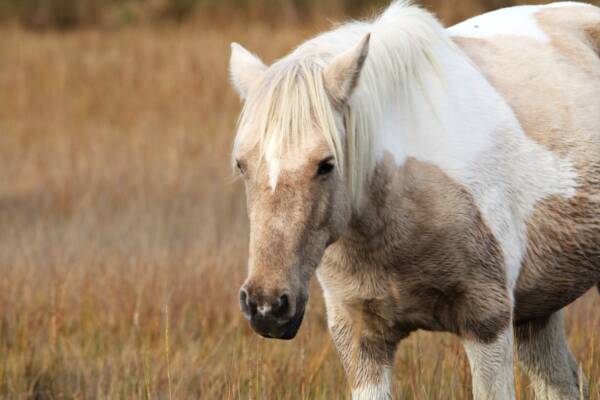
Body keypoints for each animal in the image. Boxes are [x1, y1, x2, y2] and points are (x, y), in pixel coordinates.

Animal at [229, 1, 600, 398]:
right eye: (242, 165)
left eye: (326, 165)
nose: (266, 307)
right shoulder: (361, 340)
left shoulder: (487, 323)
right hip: (538, 310)